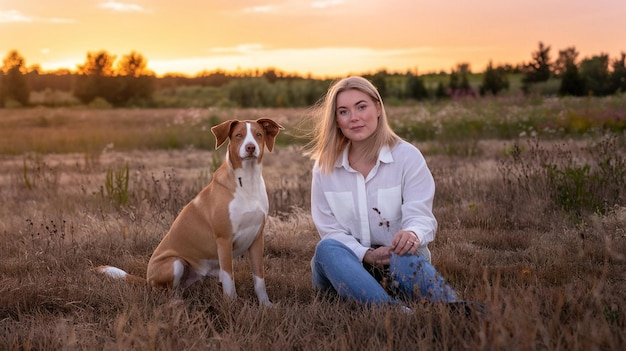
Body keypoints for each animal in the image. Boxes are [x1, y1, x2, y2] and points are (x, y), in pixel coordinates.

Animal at [95, 117, 282, 306]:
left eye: (258, 134)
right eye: (238, 135)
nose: (250, 147)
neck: (247, 180)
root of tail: (147, 280)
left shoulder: (257, 238)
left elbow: (259, 278)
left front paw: (266, 305)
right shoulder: (224, 239)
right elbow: (230, 279)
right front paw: (232, 306)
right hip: (175, 263)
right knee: (169, 292)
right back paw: (176, 303)